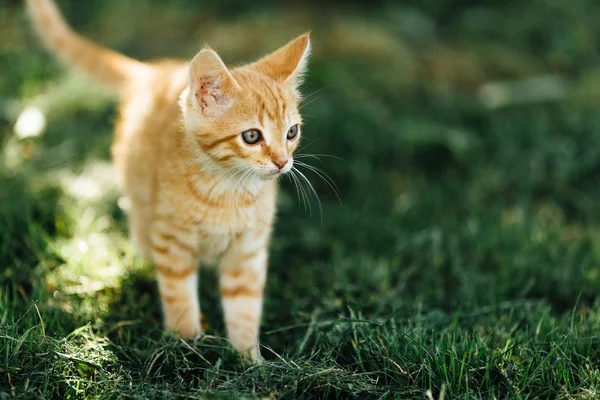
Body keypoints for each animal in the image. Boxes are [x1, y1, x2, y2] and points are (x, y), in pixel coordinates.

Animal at [24, 0, 310, 360]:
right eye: (251, 136)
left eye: (292, 132)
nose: (283, 162)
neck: (229, 189)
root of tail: (154, 72)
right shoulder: (172, 240)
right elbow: (178, 293)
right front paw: (186, 348)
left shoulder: (247, 251)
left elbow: (244, 307)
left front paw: (248, 359)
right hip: (143, 215)